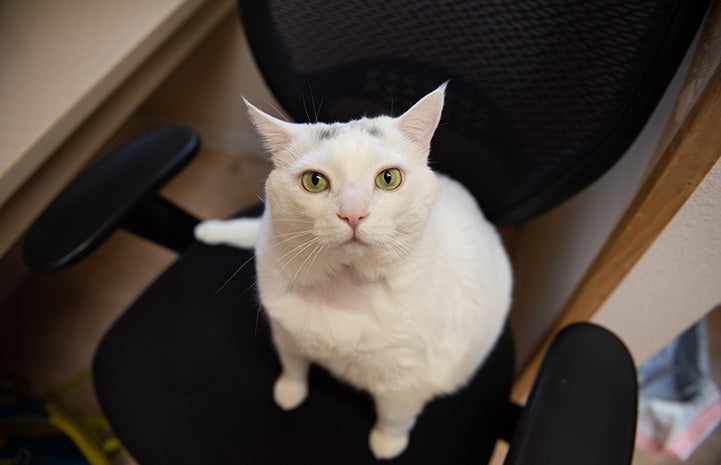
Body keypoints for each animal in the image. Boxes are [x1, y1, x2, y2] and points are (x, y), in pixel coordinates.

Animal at [195, 84, 512, 460]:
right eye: (314, 181)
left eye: (388, 178)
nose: (353, 214)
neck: (343, 285)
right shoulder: (284, 334)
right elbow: (293, 365)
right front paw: (290, 392)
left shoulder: (406, 379)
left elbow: (395, 416)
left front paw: (387, 445)